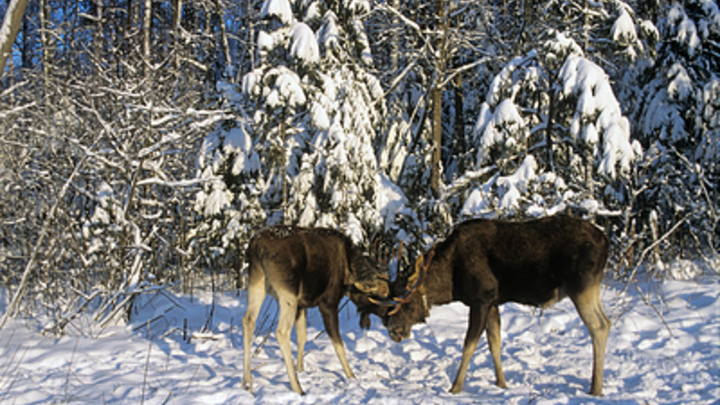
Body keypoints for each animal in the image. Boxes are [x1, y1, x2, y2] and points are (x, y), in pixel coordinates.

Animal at [240, 226, 388, 396]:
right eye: (377, 296)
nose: (388, 315)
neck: (349, 273)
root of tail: (257, 246)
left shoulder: (301, 306)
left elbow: (302, 337)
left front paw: (301, 369)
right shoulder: (328, 303)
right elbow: (339, 344)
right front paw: (351, 376)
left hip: (257, 281)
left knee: (248, 321)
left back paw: (247, 382)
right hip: (287, 293)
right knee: (281, 331)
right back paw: (297, 387)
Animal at [374, 215, 612, 394]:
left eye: (402, 298)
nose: (393, 330)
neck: (451, 282)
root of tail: (605, 241)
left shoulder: (481, 298)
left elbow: (468, 346)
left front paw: (455, 388)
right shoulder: (493, 303)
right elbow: (494, 344)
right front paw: (502, 384)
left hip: (581, 286)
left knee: (599, 326)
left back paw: (596, 388)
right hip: (591, 288)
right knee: (606, 322)